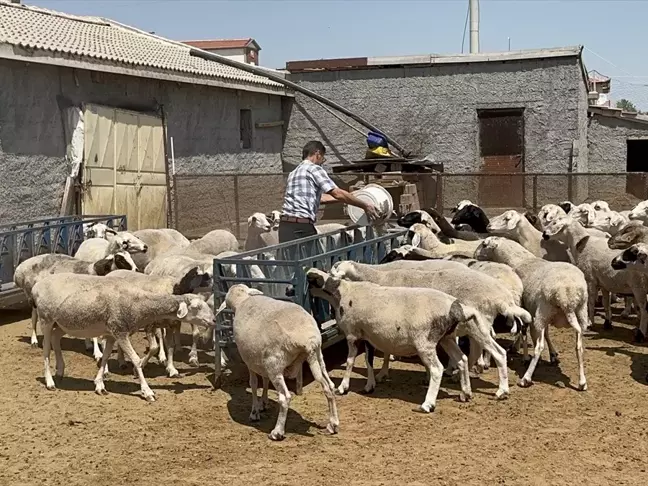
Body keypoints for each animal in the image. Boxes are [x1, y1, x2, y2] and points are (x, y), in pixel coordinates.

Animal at [32, 274, 213, 402]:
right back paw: (50, 381)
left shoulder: (112, 334)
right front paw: (147, 391)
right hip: (46, 319)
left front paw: (99, 384)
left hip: (63, 324)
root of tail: (37, 285)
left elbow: (105, 357)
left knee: (55, 339)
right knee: (46, 349)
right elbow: (136, 360)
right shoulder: (120, 332)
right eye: (196, 307)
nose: (213, 320)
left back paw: (60, 370)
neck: (137, 303)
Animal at [216, 284, 340, 440]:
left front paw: (255, 412)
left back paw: (277, 432)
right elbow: (264, 380)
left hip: (275, 365)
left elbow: (254, 384)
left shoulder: (250, 361)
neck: (242, 300)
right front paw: (263, 403)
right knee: (329, 386)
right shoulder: (260, 360)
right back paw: (333, 424)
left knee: (285, 397)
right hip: (317, 356)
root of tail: (308, 340)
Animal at [306, 268, 498, 404]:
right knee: (462, 360)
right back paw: (465, 393)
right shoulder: (367, 335)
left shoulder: (352, 335)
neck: (342, 293)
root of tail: (456, 307)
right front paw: (369, 385)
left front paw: (343, 387)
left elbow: (350, 362)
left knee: (437, 369)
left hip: (426, 343)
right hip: (447, 338)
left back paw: (428, 404)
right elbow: (368, 361)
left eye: (311, 282)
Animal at [474, 236, 588, 392]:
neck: (520, 260)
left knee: (539, 347)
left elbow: (523, 331)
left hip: (543, 312)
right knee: (579, 347)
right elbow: (545, 334)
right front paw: (553, 354)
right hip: (580, 314)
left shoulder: (526, 310)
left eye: (484, 244)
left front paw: (521, 352)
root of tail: (566, 296)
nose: (474, 255)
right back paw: (582, 382)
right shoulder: (538, 314)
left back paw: (526, 378)